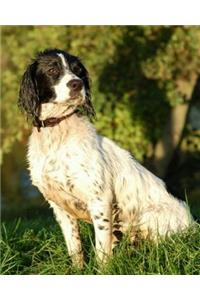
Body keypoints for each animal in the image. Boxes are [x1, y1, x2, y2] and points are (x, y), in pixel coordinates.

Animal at [18, 48, 192, 268]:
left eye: (78, 70)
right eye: (52, 70)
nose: (77, 84)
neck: (57, 137)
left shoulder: (100, 200)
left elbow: (101, 251)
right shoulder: (60, 207)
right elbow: (75, 248)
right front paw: (79, 270)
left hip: (148, 217)